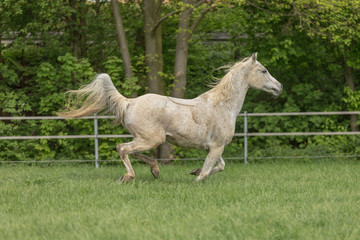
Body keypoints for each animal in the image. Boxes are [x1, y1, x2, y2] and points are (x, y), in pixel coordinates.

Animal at [57, 53, 282, 182]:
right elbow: (206, 173)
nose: (279, 87)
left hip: (147, 138)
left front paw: (193, 171)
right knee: (123, 149)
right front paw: (196, 177)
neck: (223, 106)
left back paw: (155, 170)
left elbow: (220, 166)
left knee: (131, 151)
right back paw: (128, 177)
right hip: (152, 139)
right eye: (264, 70)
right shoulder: (217, 146)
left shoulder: (214, 147)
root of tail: (129, 102)